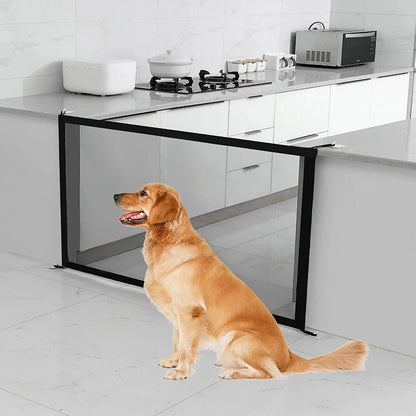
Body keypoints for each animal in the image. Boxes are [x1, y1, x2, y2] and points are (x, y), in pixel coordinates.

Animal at [113, 183, 368, 380]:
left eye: (143, 193)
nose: (114, 195)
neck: (169, 242)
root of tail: (288, 356)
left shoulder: (189, 312)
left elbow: (186, 346)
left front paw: (181, 372)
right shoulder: (177, 315)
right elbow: (178, 341)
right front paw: (173, 361)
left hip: (237, 337)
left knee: (270, 373)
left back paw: (230, 371)